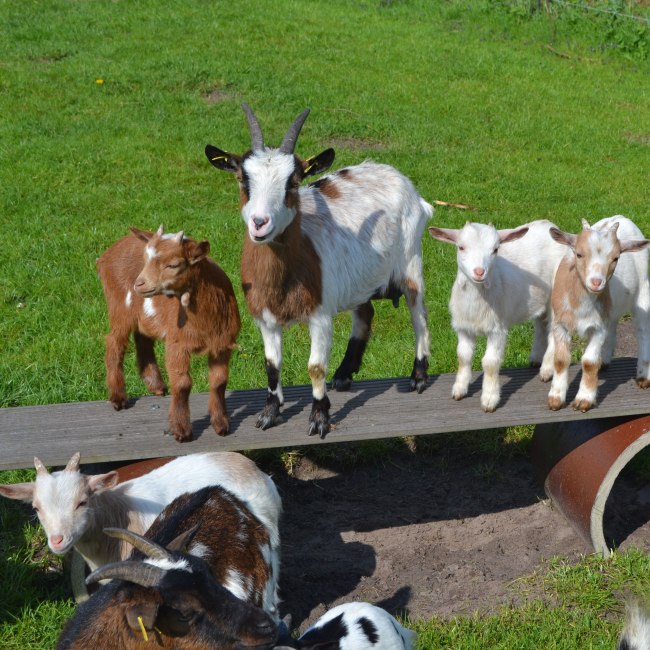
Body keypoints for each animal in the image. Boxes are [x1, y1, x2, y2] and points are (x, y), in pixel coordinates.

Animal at [95, 224, 239, 440]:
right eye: (145, 259)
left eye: (173, 265)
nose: (139, 284)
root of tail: (106, 255)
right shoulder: (177, 343)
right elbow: (182, 383)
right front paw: (181, 430)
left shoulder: (222, 344)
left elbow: (219, 381)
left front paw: (221, 425)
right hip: (120, 307)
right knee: (115, 343)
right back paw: (118, 398)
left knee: (143, 339)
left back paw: (155, 385)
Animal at [205, 105, 432, 436]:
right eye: (243, 180)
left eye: (293, 182)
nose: (260, 223)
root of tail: (396, 176)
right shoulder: (264, 318)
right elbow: (271, 365)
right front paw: (269, 414)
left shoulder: (320, 315)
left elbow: (315, 367)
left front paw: (319, 418)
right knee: (365, 313)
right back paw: (344, 374)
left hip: (411, 261)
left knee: (419, 314)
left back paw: (418, 376)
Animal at [548, 216, 648, 410]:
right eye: (578, 254)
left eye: (616, 257)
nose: (596, 282)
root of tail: (622, 217)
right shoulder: (560, 324)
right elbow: (561, 359)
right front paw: (556, 398)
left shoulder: (598, 328)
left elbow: (589, 362)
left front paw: (584, 399)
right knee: (613, 326)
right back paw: (605, 360)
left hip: (643, 292)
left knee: (643, 333)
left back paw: (643, 376)